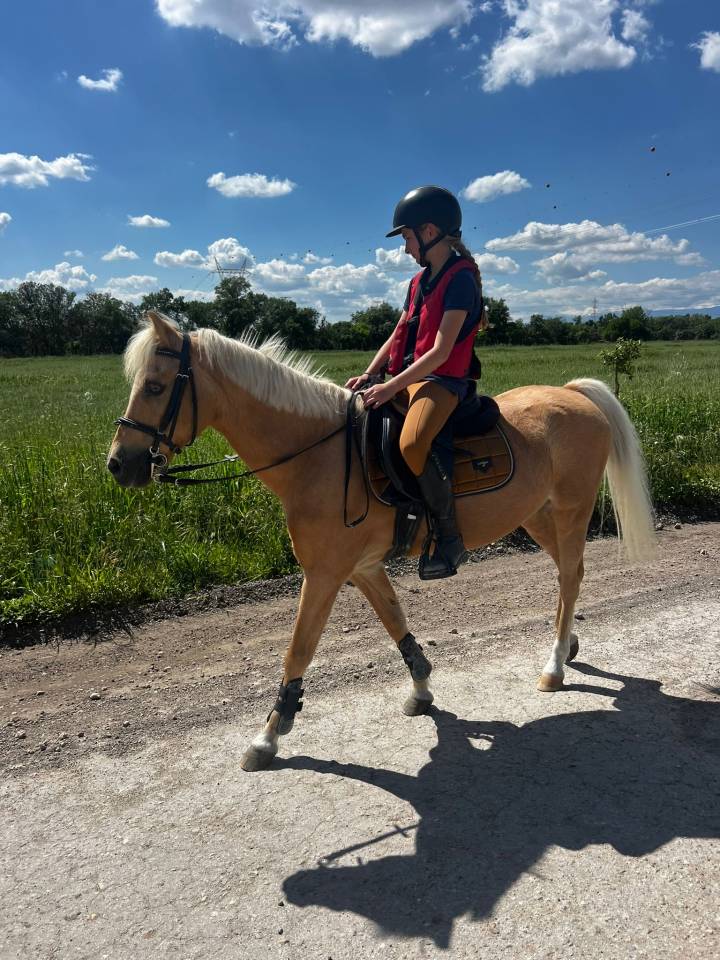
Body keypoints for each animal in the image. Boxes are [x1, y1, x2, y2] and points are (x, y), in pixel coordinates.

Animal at [107, 310, 655, 771]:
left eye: (154, 386)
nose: (118, 464)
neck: (319, 456)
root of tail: (574, 392)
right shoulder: (362, 569)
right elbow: (397, 625)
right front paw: (422, 688)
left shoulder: (324, 575)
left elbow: (298, 650)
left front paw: (268, 736)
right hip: (538, 516)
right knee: (569, 576)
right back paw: (568, 645)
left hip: (569, 511)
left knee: (570, 575)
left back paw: (555, 664)